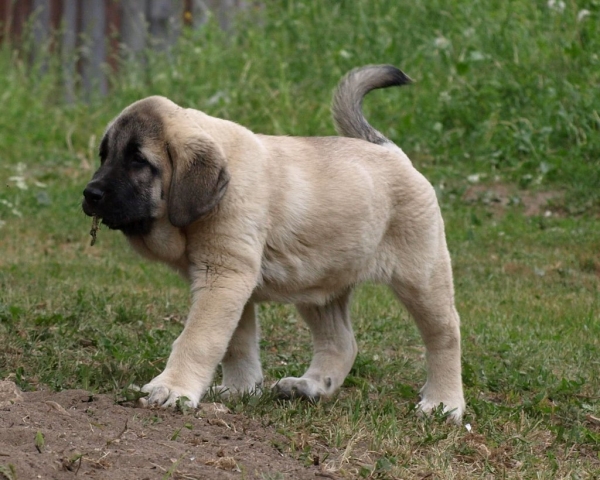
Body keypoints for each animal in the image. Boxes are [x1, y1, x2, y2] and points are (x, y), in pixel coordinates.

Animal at [82, 65, 466, 422]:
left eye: (138, 161)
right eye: (104, 156)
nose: (90, 194)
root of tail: (391, 151)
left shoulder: (224, 276)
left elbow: (199, 338)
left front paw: (172, 388)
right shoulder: (229, 281)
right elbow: (237, 342)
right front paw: (241, 389)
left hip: (421, 276)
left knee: (444, 335)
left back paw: (444, 403)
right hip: (318, 284)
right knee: (342, 342)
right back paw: (310, 386)